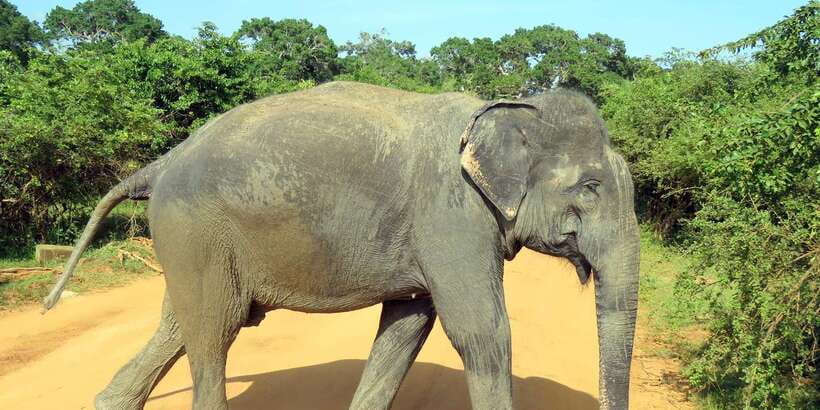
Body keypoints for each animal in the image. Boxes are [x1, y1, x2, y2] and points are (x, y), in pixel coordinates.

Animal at [42, 81, 639, 410]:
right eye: (591, 187)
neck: (509, 106)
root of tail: (161, 163)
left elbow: (406, 328)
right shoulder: (451, 214)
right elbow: (482, 332)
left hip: (191, 242)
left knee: (180, 325)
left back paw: (108, 402)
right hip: (196, 231)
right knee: (215, 332)